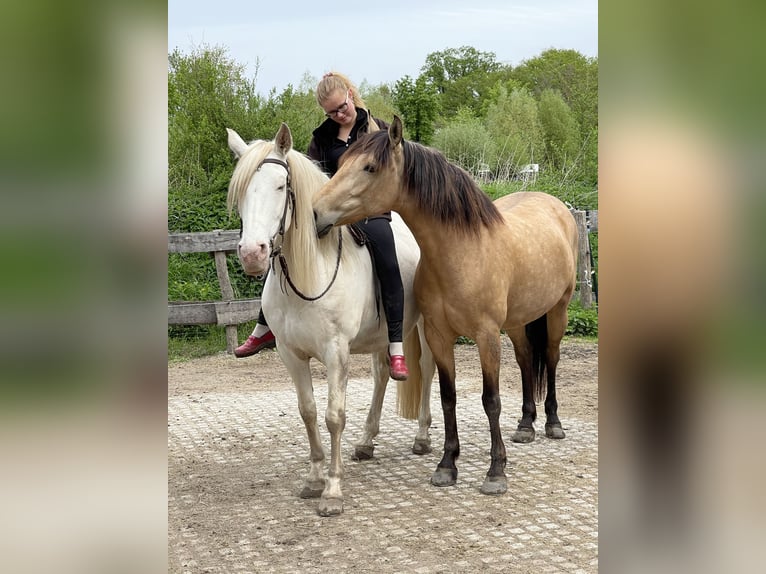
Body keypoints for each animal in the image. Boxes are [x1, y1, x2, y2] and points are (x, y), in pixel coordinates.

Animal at [225, 122, 436, 516]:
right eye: (242, 190)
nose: (252, 254)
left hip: (424, 327)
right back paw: (367, 442)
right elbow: (308, 412)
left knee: (428, 371)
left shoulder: (336, 352)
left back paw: (422, 436)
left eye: (281, 186)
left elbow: (334, 415)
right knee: (383, 374)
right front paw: (313, 479)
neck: (311, 274)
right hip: (381, 337)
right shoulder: (291, 355)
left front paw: (333, 490)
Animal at [316, 116, 580, 496]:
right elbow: (447, 398)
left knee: (553, 358)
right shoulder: (439, 336)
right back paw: (526, 425)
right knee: (526, 360)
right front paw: (446, 465)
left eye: (369, 167)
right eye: (341, 163)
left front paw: (496, 472)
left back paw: (553, 423)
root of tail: (558, 206)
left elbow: (491, 400)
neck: (462, 251)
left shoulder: (486, 336)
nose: (317, 211)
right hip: (517, 323)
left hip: (558, 311)